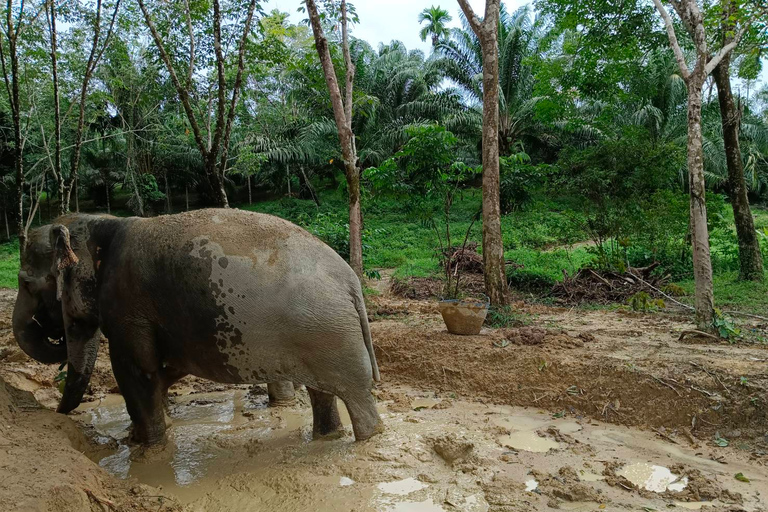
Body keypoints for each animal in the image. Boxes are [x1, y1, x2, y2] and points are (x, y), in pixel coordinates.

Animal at [14, 208, 380, 444]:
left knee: (358, 398)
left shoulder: (127, 307)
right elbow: (160, 370)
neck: (102, 223)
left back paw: (367, 439)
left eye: (27, 283)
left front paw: (146, 448)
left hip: (331, 334)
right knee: (323, 393)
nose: (59, 416)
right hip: (317, 334)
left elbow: (137, 371)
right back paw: (327, 437)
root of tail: (351, 282)